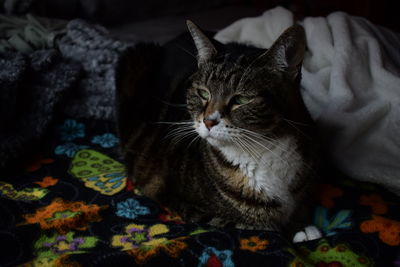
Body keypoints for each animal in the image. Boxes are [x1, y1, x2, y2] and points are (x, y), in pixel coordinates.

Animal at [115, 20, 318, 234]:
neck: (262, 149)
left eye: (241, 99)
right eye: (203, 93)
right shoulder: (189, 206)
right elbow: (256, 226)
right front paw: (299, 231)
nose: (208, 121)